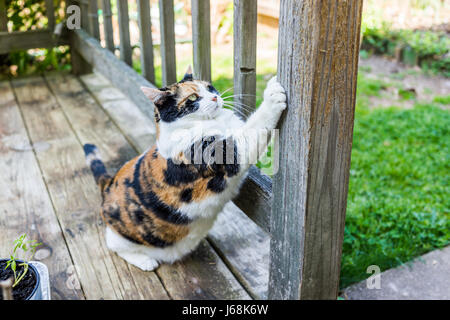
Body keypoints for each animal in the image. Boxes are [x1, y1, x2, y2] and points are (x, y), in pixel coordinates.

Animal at [84, 67, 286, 270]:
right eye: (192, 98)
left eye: (209, 87)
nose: (215, 97)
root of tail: (108, 183)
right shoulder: (225, 152)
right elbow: (256, 127)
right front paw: (273, 94)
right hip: (122, 236)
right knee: (113, 245)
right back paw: (146, 262)